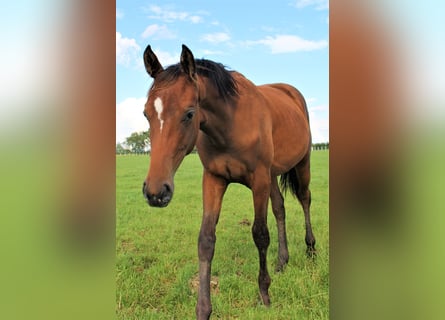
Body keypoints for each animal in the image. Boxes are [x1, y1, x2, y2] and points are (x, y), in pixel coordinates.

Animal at [140, 43, 314, 318]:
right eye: (146, 113)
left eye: (189, 113)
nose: (156, 192)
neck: (230, 125)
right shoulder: (214, 179)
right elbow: (206, 240)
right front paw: (203, 308)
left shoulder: (259, 180)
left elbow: (260, 234)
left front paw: (264, 295)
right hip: (273, 175)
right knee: (280, 209)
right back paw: (282, 261)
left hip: (301, 163)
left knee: (305, 199)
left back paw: (310, 249)